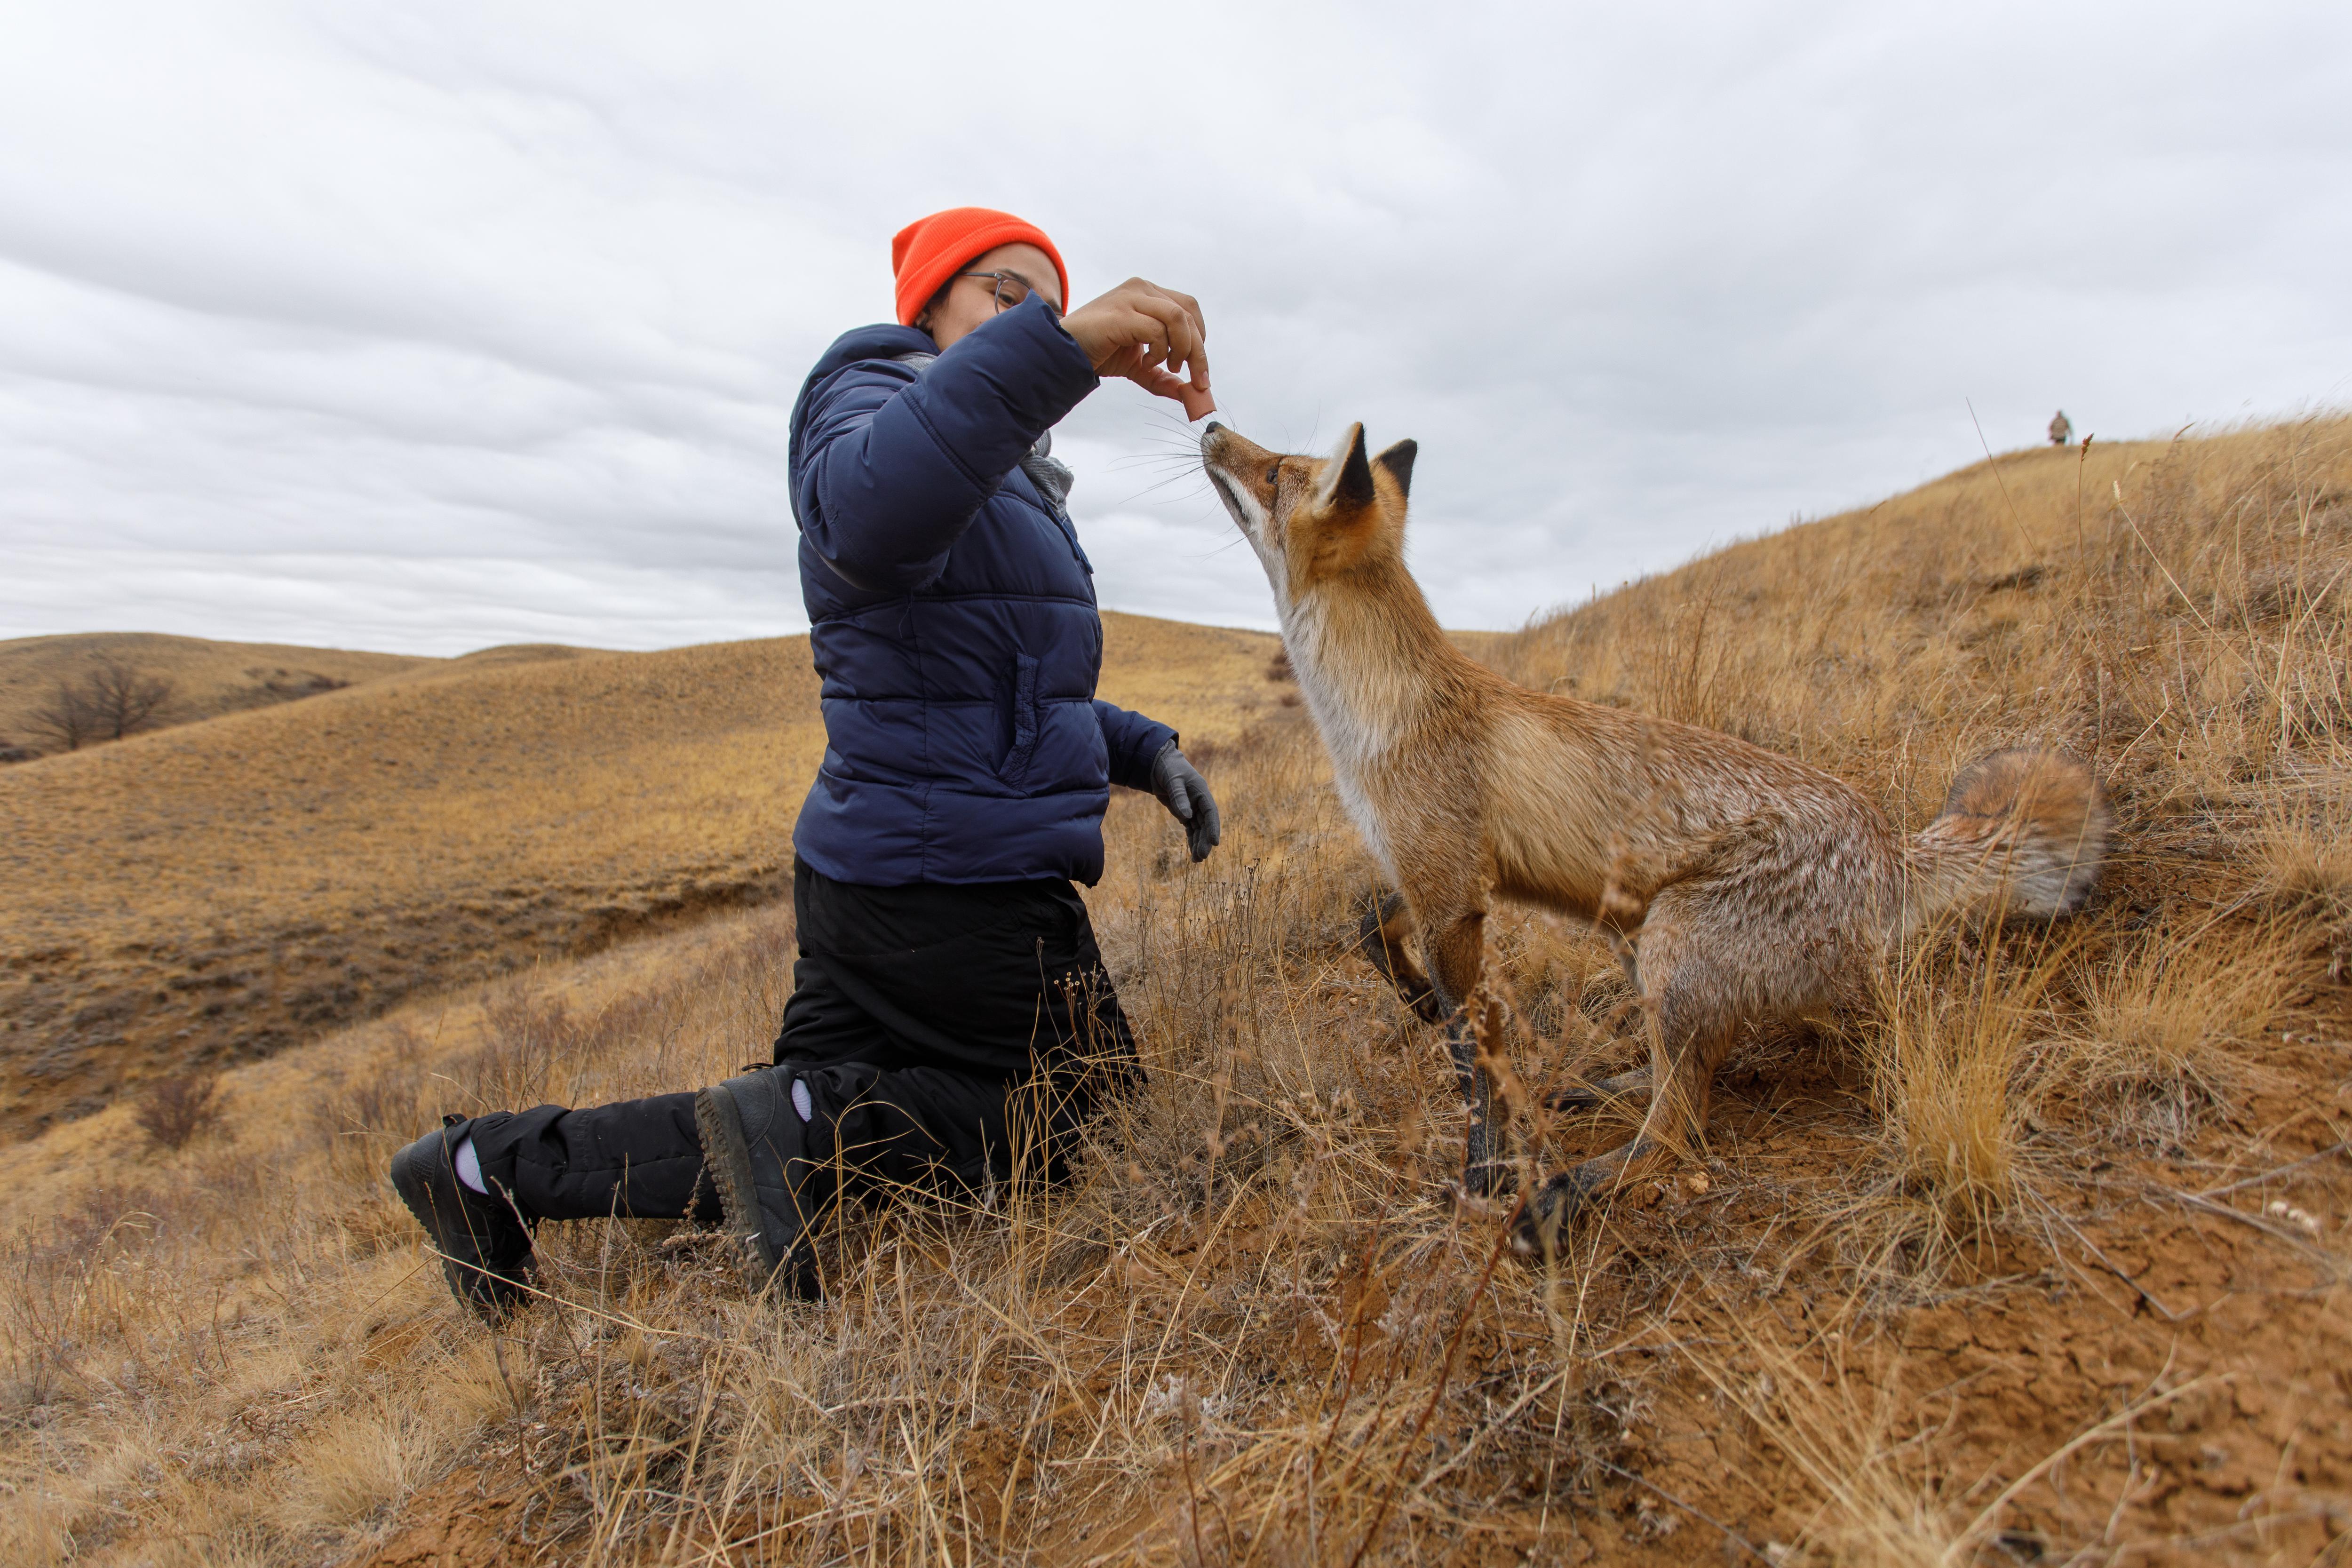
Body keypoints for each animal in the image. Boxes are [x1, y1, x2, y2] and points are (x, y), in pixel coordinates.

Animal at [1204, 421, 2107, 1250]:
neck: (1385, 717)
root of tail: (1891, 849)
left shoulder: (1454, 896)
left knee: (1681, 1129)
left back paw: (1571, 1190)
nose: (1210, 426)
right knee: (1689, 1074)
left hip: (1673, 946)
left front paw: (1484, 1174)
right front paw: (1416, 994)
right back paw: (1605, 1089)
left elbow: (1475, 1063)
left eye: (1276, 469)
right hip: (1636, 944)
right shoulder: (1441, 878)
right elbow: (1369, 923)